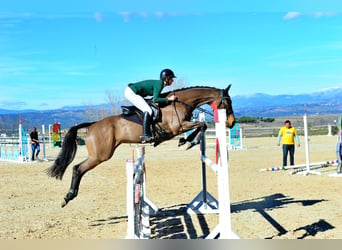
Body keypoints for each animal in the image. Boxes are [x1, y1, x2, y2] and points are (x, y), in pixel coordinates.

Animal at [46, 84, 235, 207]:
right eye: (228, 101)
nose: (232, 123)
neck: (180, 102)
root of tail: (92, 125)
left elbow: (201, 126)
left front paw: (186, 141)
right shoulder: (178, 127)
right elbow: (201, 125)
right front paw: (189, 142)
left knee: (77, 168)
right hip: (100, 155)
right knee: (77, 168)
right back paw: (68, 197)